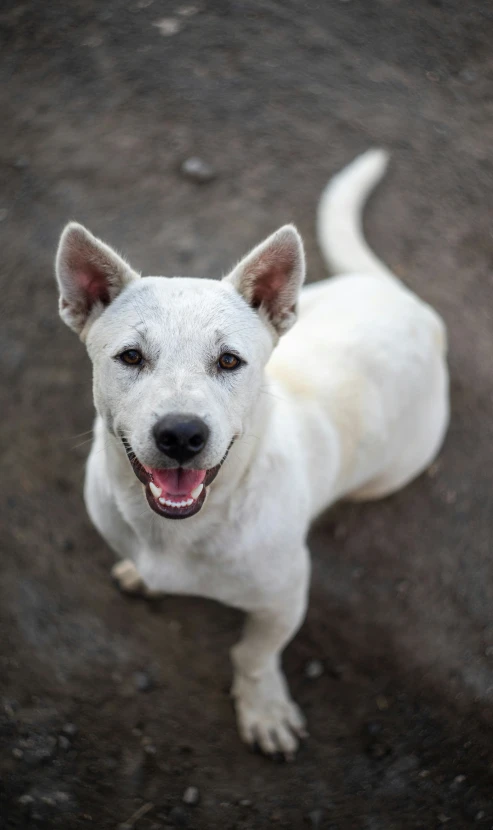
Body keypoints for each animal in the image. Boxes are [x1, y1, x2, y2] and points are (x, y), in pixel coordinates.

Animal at [55, 150, 448, 760]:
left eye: (230, 361)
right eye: (131, 356)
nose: (181, 435)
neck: (181, 531)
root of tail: (407, 302)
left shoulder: (285, 599)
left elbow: (254, 655)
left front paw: (264, 708)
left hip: (389, 471)